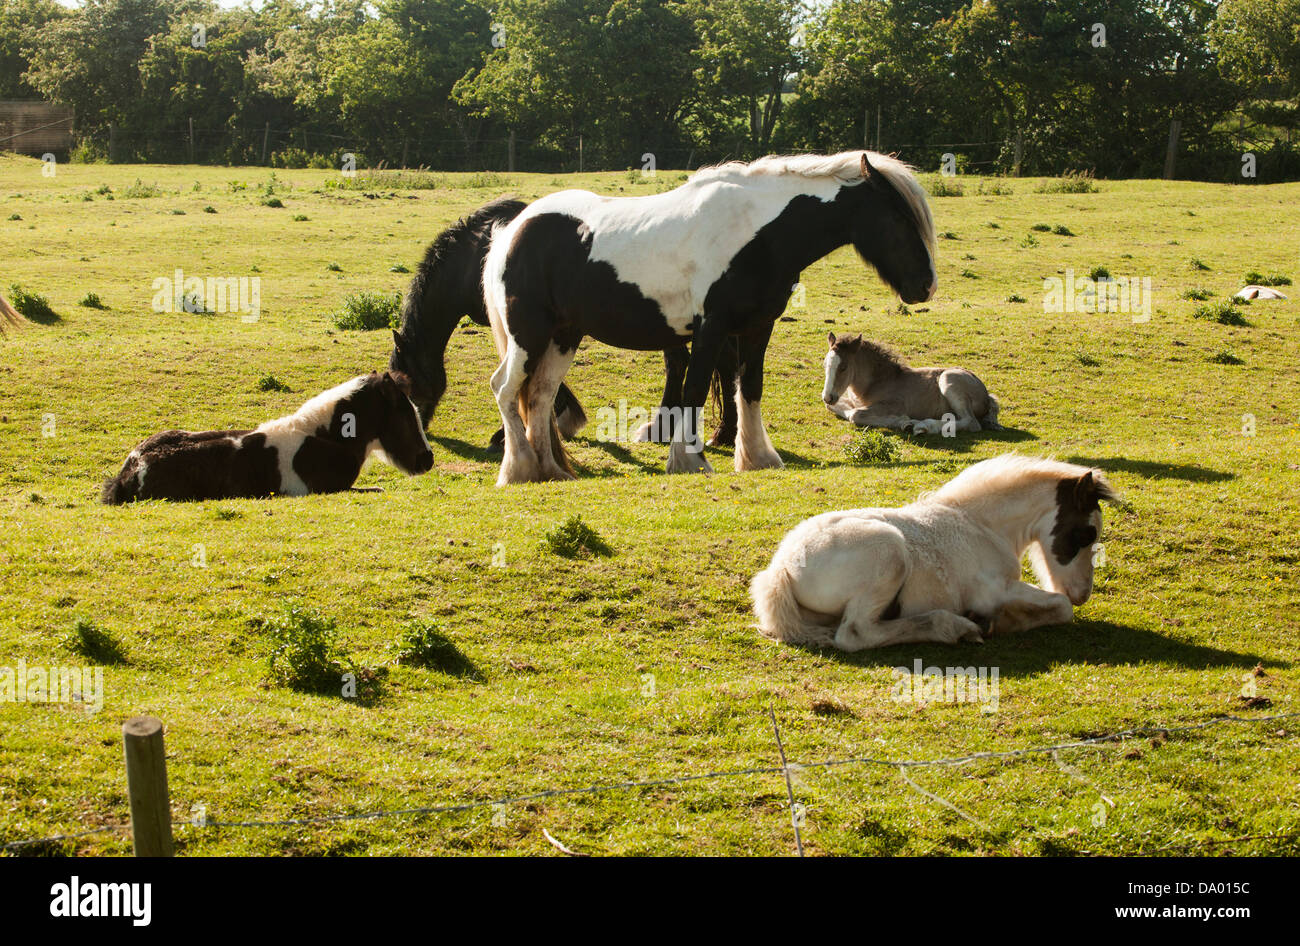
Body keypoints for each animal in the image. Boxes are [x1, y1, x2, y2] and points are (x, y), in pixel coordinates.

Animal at [481, 150, 936, 485]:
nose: (926, 286)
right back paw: (519, 469)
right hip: (529, 336)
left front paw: (757, 457)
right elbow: (696, 390)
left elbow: (749, 387)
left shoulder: (757, 328)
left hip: (563, 336)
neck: (757, 232)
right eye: (898, 217)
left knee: (539, 395)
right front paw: (690, 459)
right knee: (505, 388)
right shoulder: (710, 328)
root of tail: (514, 229)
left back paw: (549, 470)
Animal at [750, 455, 1116, 650]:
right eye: (1086, 533)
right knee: (856, 633)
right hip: (889, 552)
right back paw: (958, 628)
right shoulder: (992, 591)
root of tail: (781, 569)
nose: (1082, 593)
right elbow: (1060, 607)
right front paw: (1002, 622)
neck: (981, 525)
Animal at [822, 333, 1001, 434]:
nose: (827, 396)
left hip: (948, 380)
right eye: (825, 364)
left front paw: (904, 422)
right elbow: (836, 408)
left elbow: (855, 414)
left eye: (843, 367)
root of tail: (987, 397)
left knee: (971, 422)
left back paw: (923, 426)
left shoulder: (893, 405)